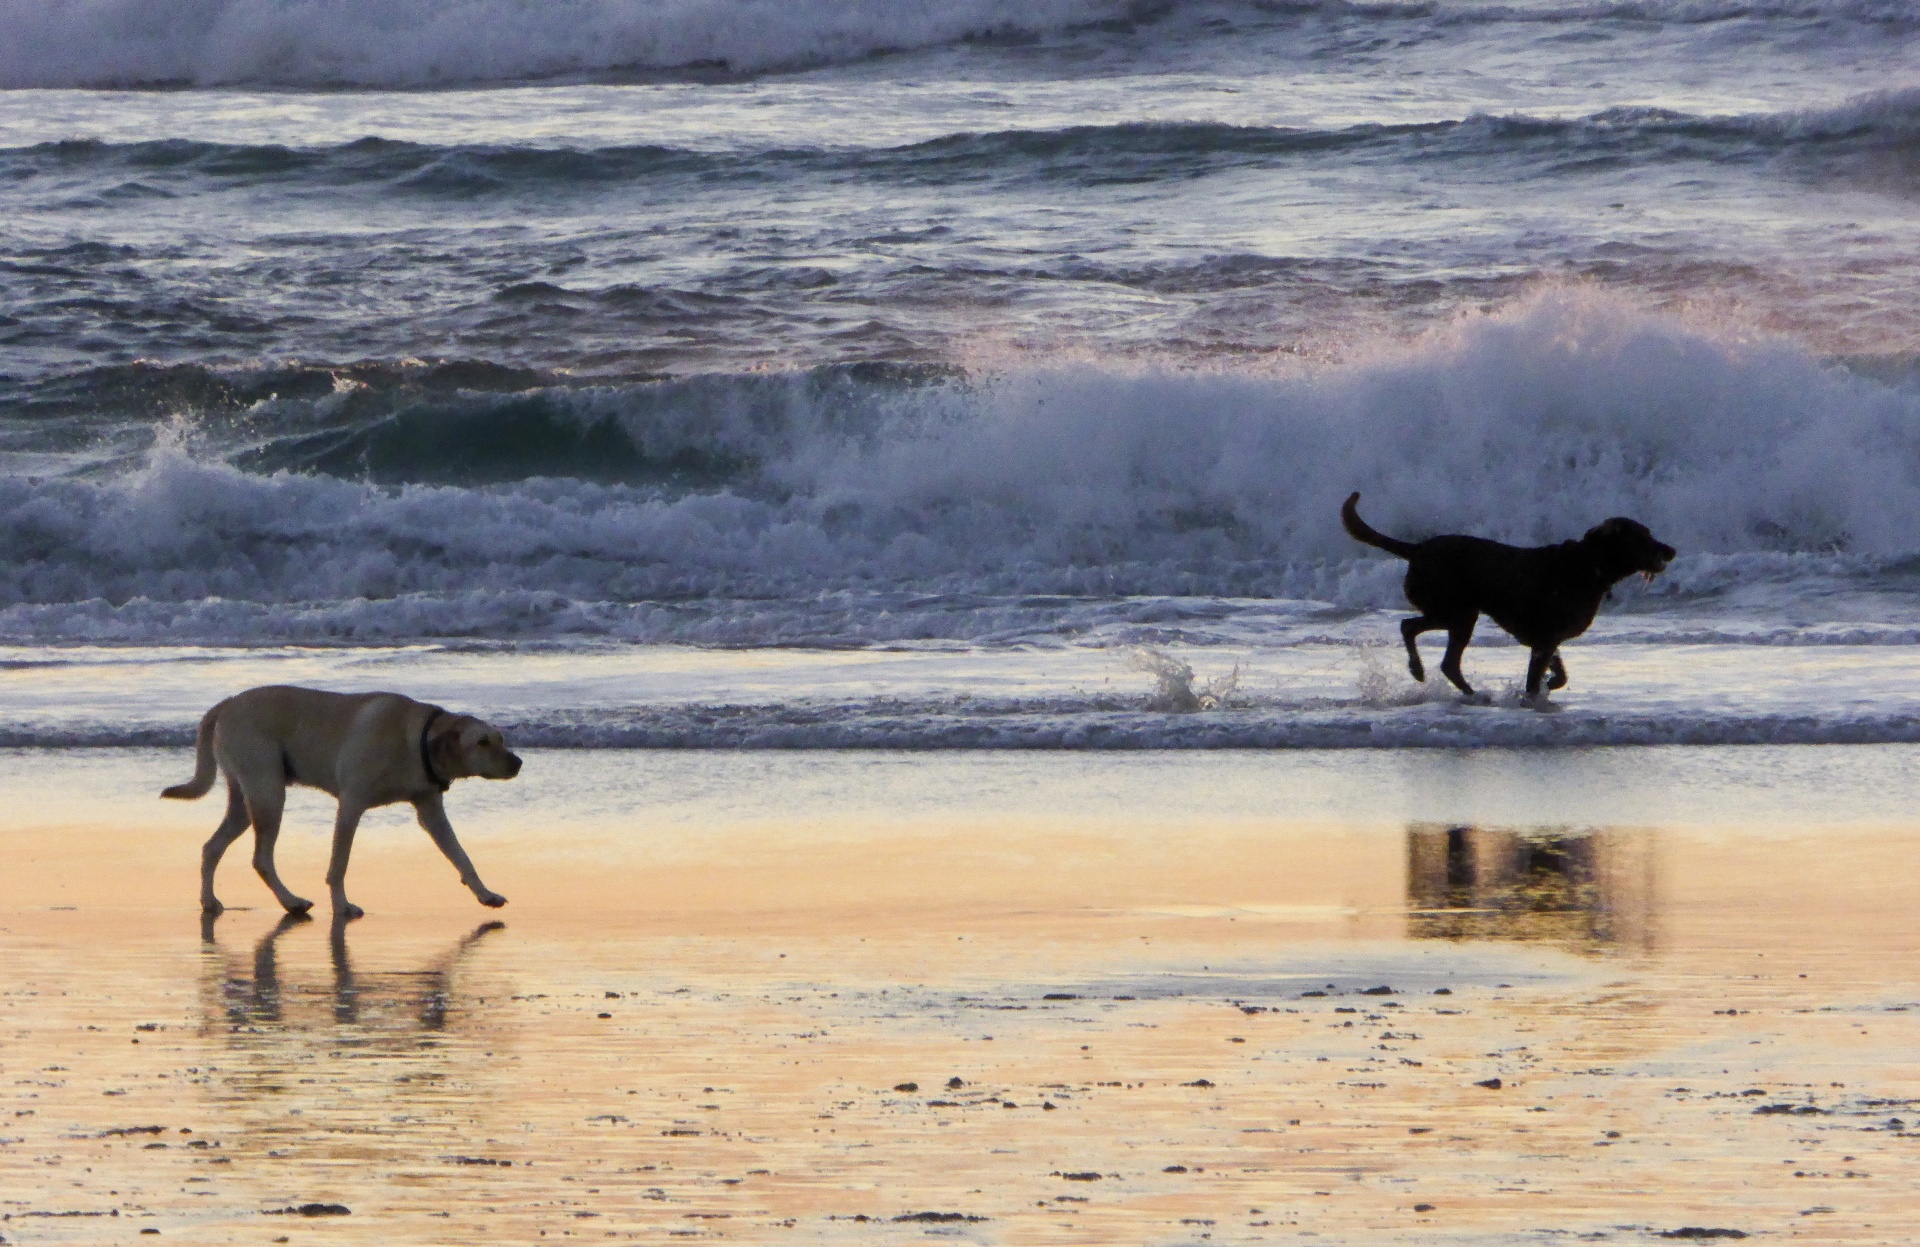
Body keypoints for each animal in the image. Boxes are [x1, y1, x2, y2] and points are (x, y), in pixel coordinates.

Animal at [1344, 491, 1674, 695]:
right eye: (1644, 537)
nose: (1671, 550)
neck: (1590, 564)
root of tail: (1417, 549)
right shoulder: (1545, 640)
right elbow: (1535, 679)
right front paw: (1534, 695)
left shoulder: (1548, 640)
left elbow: (1559, 674)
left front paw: (1549, 684)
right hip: (1457, 611)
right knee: (1419, 635)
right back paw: (1435, 677)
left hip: (1453, 612)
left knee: (1428, 643)